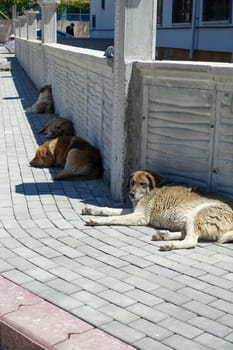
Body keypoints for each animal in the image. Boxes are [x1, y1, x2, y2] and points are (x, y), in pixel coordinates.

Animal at [82, 179, 233, 250]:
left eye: (142, 183)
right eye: (132, 183)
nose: (130, 194)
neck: (148, 191)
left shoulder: (140, 216)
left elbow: (114, 218)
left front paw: (96, 221)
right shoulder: (134, 211)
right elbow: (108, 209)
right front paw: (91, 209)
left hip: (196, 215)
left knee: (191, 240)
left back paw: (169, 244)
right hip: (191, 219)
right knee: (186, 234)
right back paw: (163, 235)